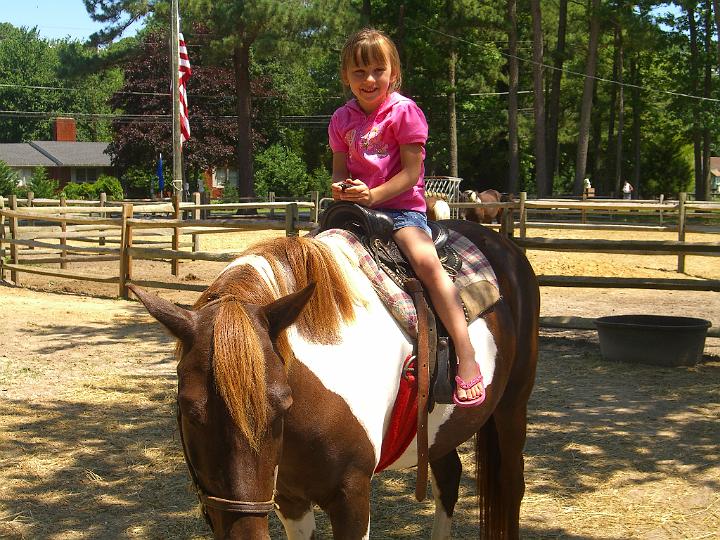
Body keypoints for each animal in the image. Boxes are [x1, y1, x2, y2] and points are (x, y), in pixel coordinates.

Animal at [129, 220, 536, 540]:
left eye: (281, 404)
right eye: (188, 409)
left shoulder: (352, 497)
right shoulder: (290, 499)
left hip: (512, 408)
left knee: (511, 485)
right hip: (439, 434)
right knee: (449, 479)